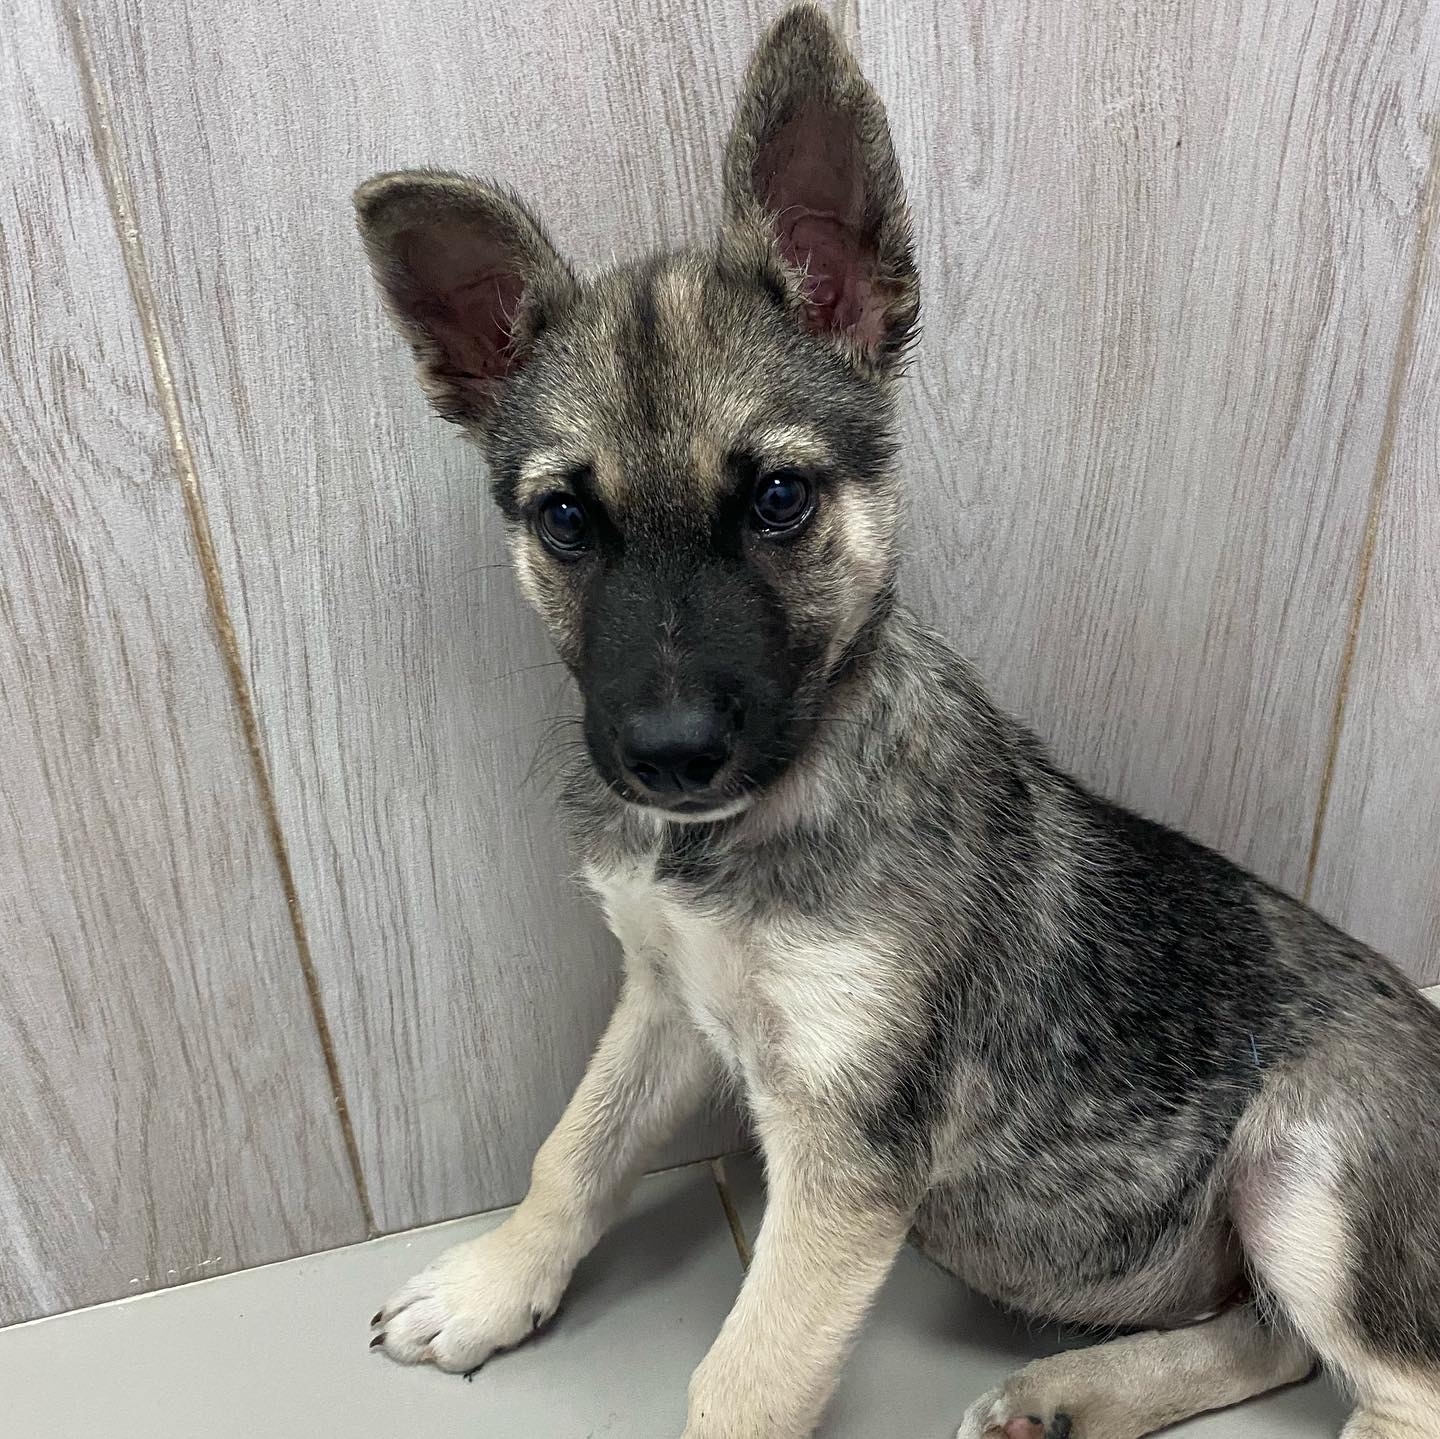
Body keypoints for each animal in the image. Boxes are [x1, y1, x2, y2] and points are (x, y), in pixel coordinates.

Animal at [351, 5, 1440, 1434]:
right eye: (567, 520)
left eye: (779, 498)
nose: (669, 757)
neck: (756, 824)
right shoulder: (663, 998)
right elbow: (574, 1147)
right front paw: (494, 1281)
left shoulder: (846, 1150)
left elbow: (749, 1375)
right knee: (1272, 1338)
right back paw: (1066, 1394)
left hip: (1314, 1171)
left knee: (1394, 1382)